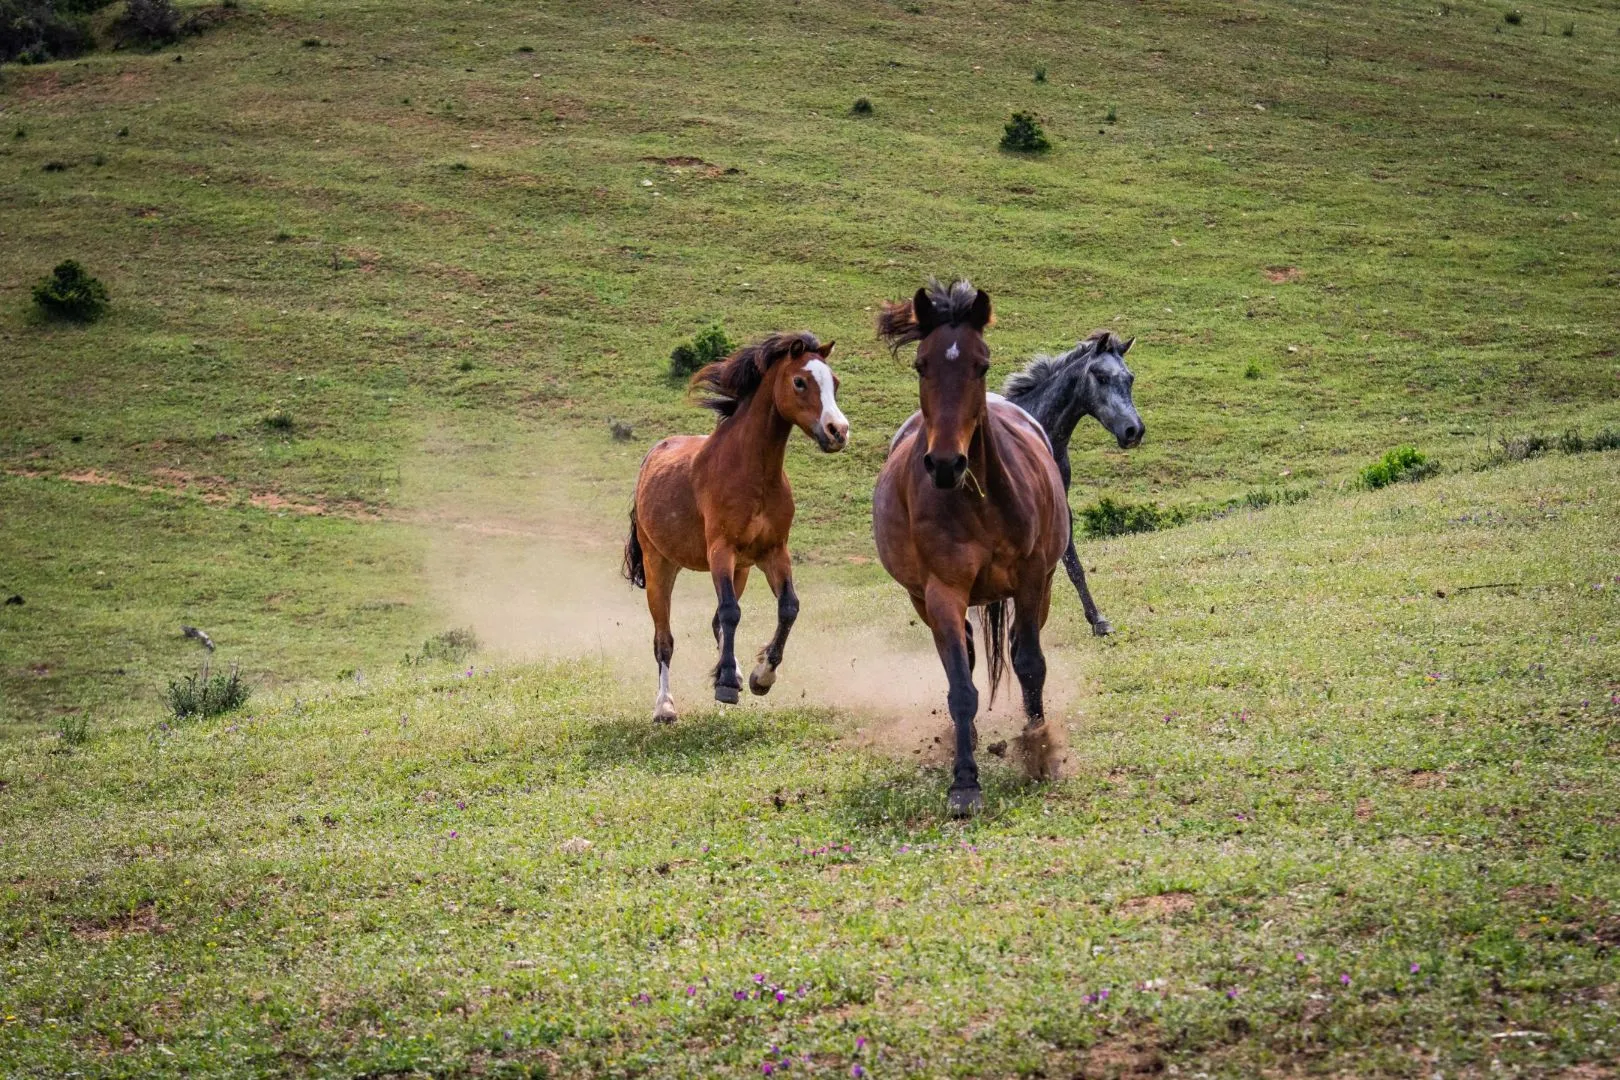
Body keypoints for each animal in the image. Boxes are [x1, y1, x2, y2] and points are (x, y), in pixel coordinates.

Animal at [623, 332, 848, 724]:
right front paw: (727, 684)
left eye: (833, 382)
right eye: (800, 381)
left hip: (740, 569)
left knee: (716, 623)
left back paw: (737, 673)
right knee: (664, 640)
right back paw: (665, 706)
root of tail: (651, 457)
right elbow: (730, 612)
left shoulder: (774, 552)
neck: (752, 473)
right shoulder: (721, 551)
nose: (838, 431)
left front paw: (761, 675)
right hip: (658, 566)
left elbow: (788, 607)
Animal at [871, 279, 1070, 816]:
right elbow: (961, 687)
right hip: (925, 601)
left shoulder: (1031, 580)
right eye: (921, 364)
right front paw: (964, 781)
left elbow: (1031, 665)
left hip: (1043, 588)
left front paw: (1038, 748)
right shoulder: (942, 592)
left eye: (981, 364)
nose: (944, 463)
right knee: (963, 654)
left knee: (1020, 651)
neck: (977, 500)